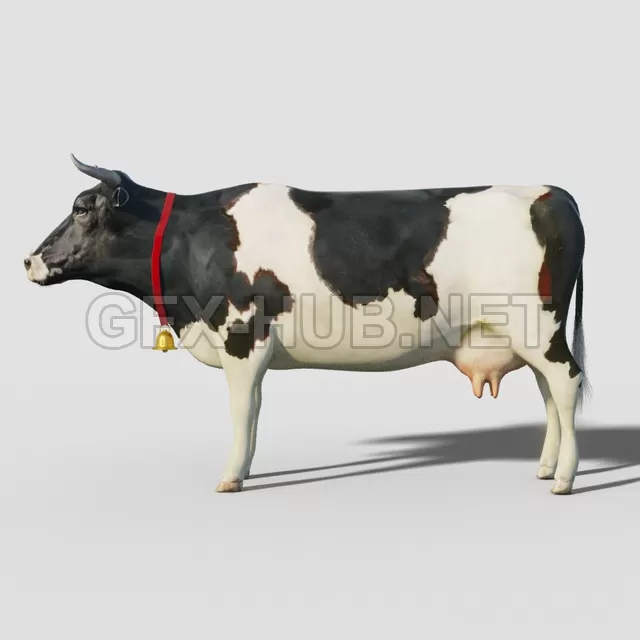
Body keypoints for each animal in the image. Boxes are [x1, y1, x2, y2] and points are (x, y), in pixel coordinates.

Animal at [24, 155, 588, 495]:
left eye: (81, 208)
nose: (28, 260)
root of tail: (550, 191)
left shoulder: (241, 335)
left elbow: (240, 410)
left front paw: (230, 477)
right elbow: (253, 410)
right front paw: (247, 468)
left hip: (537, 325)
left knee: (565, 382)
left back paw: (564, 479)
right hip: (532, 333)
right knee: (549, 392)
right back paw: (544, 467)